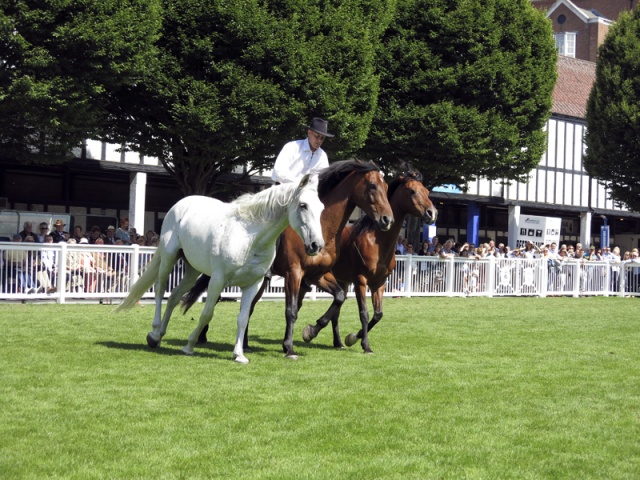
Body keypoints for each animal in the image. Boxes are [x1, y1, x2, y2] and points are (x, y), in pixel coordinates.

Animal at [115, 174, 325, 364]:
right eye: (303, 205)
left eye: (321, 207)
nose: (316, 245)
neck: (249, 237)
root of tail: (181, 205)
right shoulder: (218, 279)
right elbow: (207, 313)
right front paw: (189, 345)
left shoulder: (253, 284)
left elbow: (243, 318)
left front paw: (239, 354)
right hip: (169, 257)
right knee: (160, 291)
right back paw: (154, 334)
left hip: (192, 270)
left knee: (174, 296)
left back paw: (160, 334)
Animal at [182, 159, 394, 359]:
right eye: (372, 186)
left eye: (386, 187)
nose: (387, 220)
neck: (322, 228)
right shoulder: (294, 273)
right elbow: (291, 310)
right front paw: (290, 347)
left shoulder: (318, 275)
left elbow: (339, 298)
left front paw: (310, 331)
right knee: (217, 298)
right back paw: (202, 337)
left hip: (258, 280)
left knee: (248, 307)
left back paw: (245, 344)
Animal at [301, 164, 437, 353]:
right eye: (412, 191)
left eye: (426, 191)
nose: (432, 213)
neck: (377, 242)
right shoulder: (361, 281)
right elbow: (364, 314)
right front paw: (365, 345)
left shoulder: (379, 283)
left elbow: (378, 315)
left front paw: (352, 337)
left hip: (342, 281)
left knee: (336, 310)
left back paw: (338, 342)